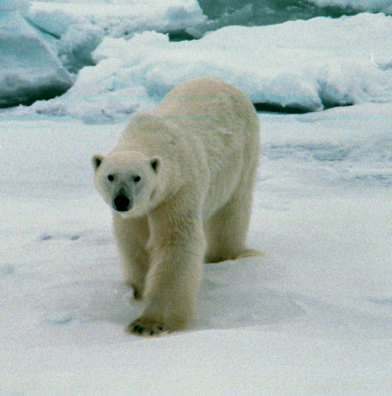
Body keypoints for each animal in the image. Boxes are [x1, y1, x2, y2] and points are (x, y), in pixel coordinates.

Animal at [92, 76, 260, 334]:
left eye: (137, 177)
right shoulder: (135, 214)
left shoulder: (178, 191)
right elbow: (133, 241)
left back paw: (222, 255)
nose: (121, 200)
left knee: (232, 210)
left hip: (244, 155)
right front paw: (138, 291)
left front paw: (149, 324)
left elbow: (176, 243)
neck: (150, 137)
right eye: (110, 176)